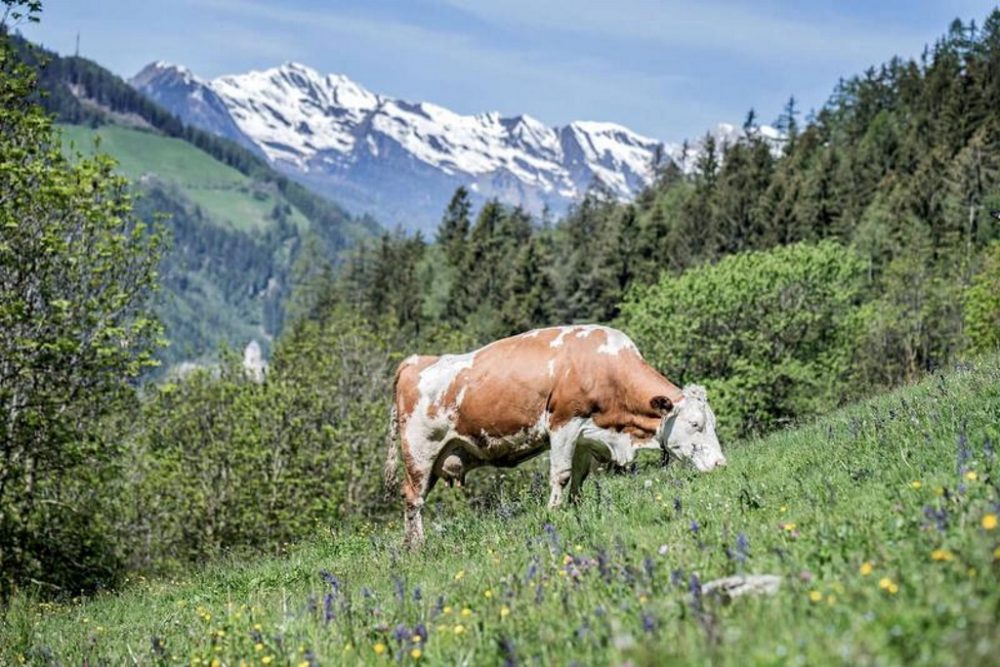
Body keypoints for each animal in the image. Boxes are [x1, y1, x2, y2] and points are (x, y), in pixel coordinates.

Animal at [384, 324, 728, 548]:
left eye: (712, 422)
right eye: (695, 423)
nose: (721, 464)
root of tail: (416, 361)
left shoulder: (585, 434)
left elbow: (579, 477)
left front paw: (576, 508)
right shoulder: (564, 423)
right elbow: (560, 474)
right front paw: (554, 512)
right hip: (420, 452)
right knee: (413, 497)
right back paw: (417, 545)